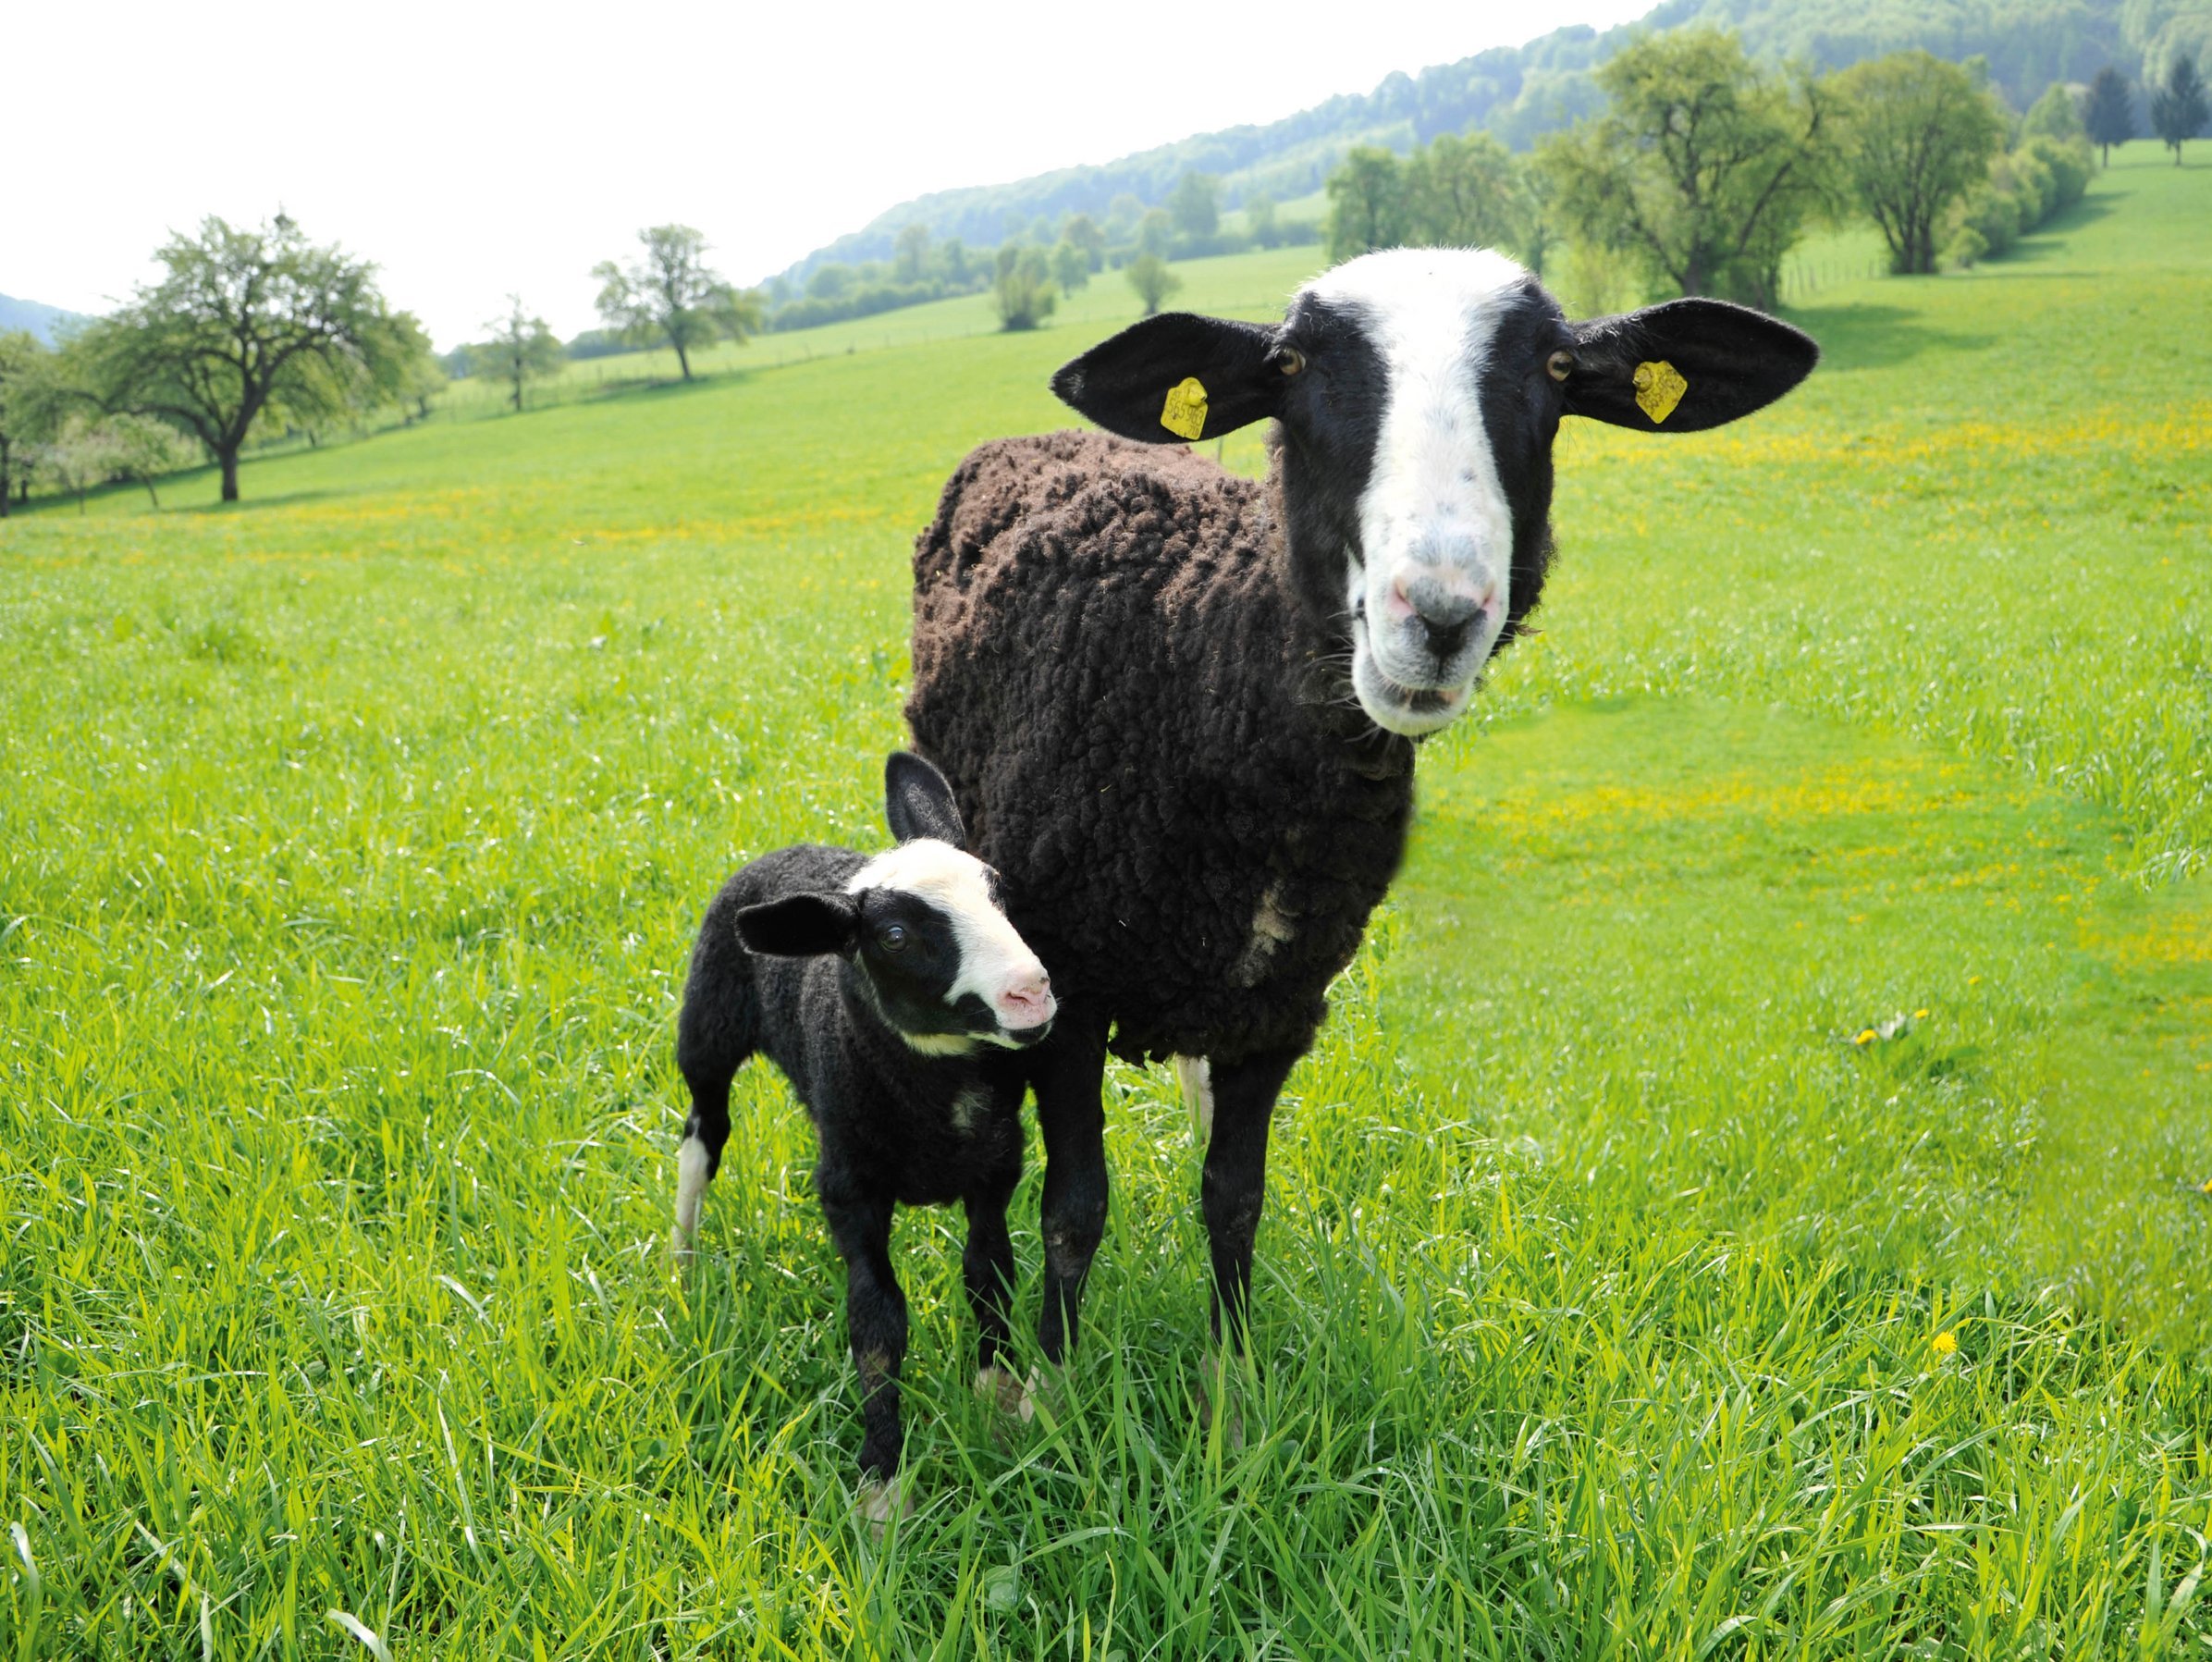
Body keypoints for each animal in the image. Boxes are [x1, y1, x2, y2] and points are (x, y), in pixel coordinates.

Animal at [671, 751, 1057, 1524]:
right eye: (896, 936)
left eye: (998, 891)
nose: (1031, 991)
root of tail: (790, 849)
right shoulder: (853, 1195)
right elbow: (878, 1328)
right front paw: (882, 1484)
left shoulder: (995, 1170)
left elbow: (988, 1276)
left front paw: (998, 1401)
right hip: (706, 1032)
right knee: (701, 1141)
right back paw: (682, 1258)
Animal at [906, 247, 1819, 1409]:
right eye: (1291, 368)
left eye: (1560, 371)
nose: (1437, 617)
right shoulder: (1064, 989)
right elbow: (1074, 1208)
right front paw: (1055, 1397)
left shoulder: (1282, 1002)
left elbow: (1233, 1197)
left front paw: (1232, 1390)